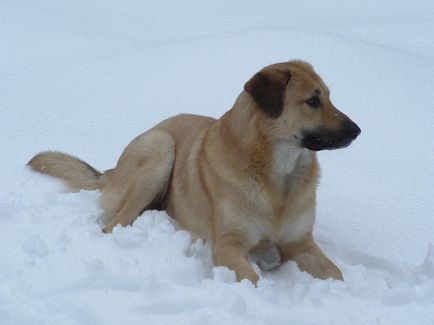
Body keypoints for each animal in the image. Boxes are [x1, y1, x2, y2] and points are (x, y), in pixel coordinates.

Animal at [28, 60, 360, 284]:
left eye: (329, 97)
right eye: (313, 101)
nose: (357, 130)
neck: (279, 177)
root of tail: (111, 170)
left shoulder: (300, 244)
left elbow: (336, 273)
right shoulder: (228, 246)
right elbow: (252, 280)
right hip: (160, 150)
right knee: (113, 225)